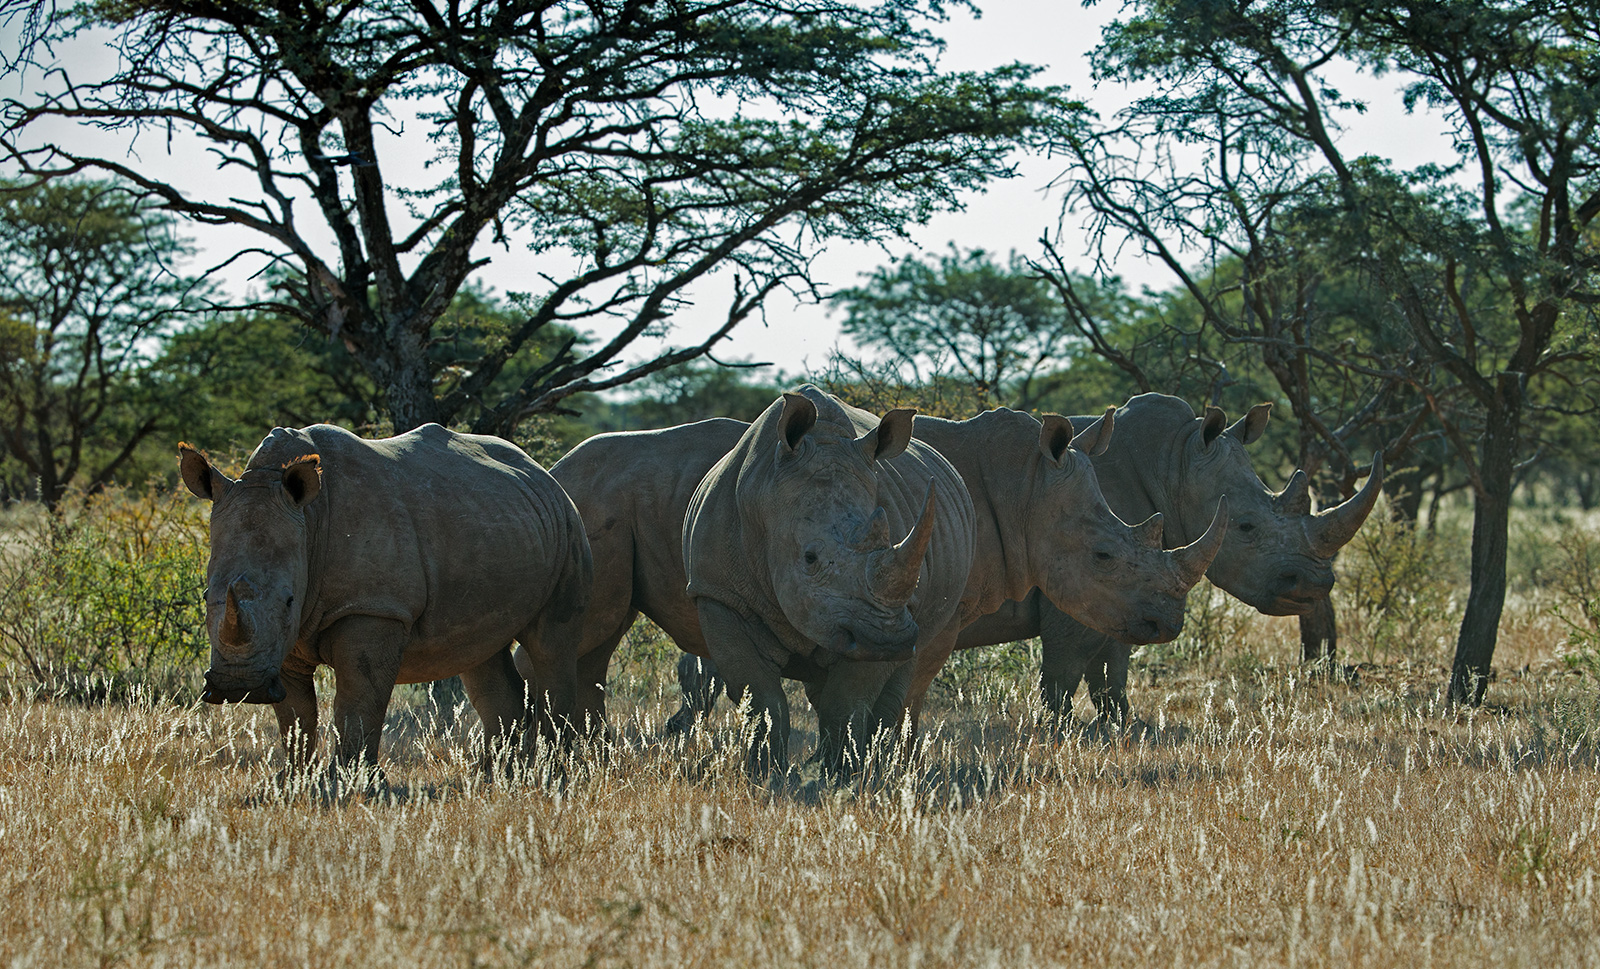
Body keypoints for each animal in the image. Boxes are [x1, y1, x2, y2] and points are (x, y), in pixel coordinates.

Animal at [179, 423, 593, 770]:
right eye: (205, 597)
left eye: (289, 600)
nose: (238, 686)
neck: (309, 520)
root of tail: (541, 472)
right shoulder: (283, 637)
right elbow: (295, 716)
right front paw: (296, 779)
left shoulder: (374, 609)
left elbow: (357, 703)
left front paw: (350, 781)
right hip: (504, 522)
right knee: (482, 653)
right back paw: (495, 776)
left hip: (569, 526)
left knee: (552, 644)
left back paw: (555, 772)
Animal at [683, 387, 975, 774]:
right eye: (810, 558)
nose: (889, 641)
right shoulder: (720, 594)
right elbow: (761, 700)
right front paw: (766, 773)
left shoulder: (876, 617)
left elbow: (846, 702)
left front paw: (840, 776)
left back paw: (878, 768)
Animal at [975, 393, 1383, 720]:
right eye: (1246, 527)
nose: (1316, 585)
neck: (1173, 465)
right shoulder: (1084, 577)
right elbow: (1068, 667)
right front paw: (1059, 727)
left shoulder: (1130, 591)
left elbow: (1113, 664)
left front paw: (1123, 725)